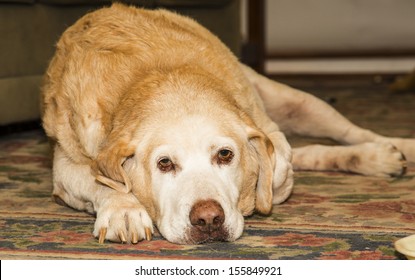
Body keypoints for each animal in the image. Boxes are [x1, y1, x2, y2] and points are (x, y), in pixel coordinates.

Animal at [41, 4, 415, 245]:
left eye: (225, 155)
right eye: (164, 163)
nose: (208, 218)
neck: (161, 78)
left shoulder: (264, 129)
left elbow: (279, 163)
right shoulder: (65, 166)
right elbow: (100, 180)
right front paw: (123, 209)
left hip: (298, 103)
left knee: (351, 133)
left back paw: (387, 151)